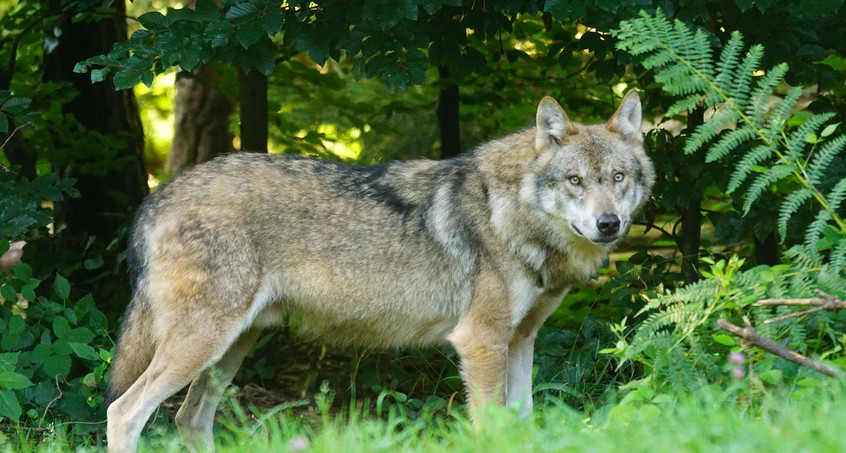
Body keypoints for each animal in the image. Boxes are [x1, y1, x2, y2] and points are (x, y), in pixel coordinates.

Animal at [102, 90, 652, 450]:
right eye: (575, 180)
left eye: (617, 178)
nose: (608, 224)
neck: (511, 213)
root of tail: (157, 196)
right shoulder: (480, 342)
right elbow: (491, 429)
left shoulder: (520, 341)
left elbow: (523, 424)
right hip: (203, 344)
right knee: (123, 412)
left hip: (231, 348)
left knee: (190, 420)